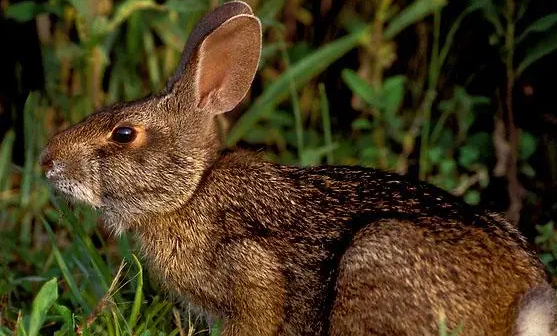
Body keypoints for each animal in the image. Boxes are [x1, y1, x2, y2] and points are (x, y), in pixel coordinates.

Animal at [40, 1, 556, 336]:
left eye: (124, 134)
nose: (47, 162)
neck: (190, 193)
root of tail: (518, 307)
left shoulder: (252, 278)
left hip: (373, 256)